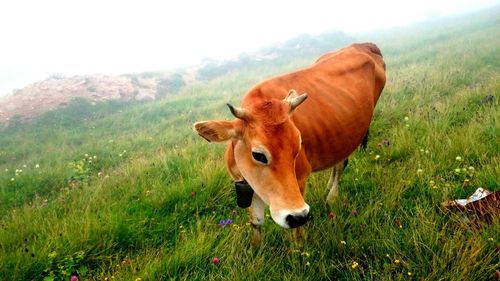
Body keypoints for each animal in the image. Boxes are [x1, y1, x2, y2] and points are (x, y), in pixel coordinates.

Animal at [193, 42, 384, 244]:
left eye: (298, 147)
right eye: (258, 155)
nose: (298, 215)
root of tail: (364, 45)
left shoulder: (300, 178)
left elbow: (298, 231)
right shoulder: (251, 186)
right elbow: (257, 223)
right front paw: (256, 247)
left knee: (341, 164)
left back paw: (332, 196)